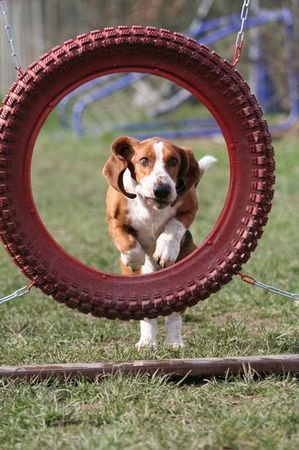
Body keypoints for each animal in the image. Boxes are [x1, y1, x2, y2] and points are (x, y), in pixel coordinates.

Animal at [103, 135, 216, 350]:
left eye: (173, 161)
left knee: (174, 314)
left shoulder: (188, 210)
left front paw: (165, 251)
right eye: (143, 160)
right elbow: (127, 242)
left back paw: (173, 342)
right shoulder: (114, 219)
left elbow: (173, 227)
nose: (162, 190)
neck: (151, 207)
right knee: (148, 314)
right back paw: (147, 343)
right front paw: (134, 258)